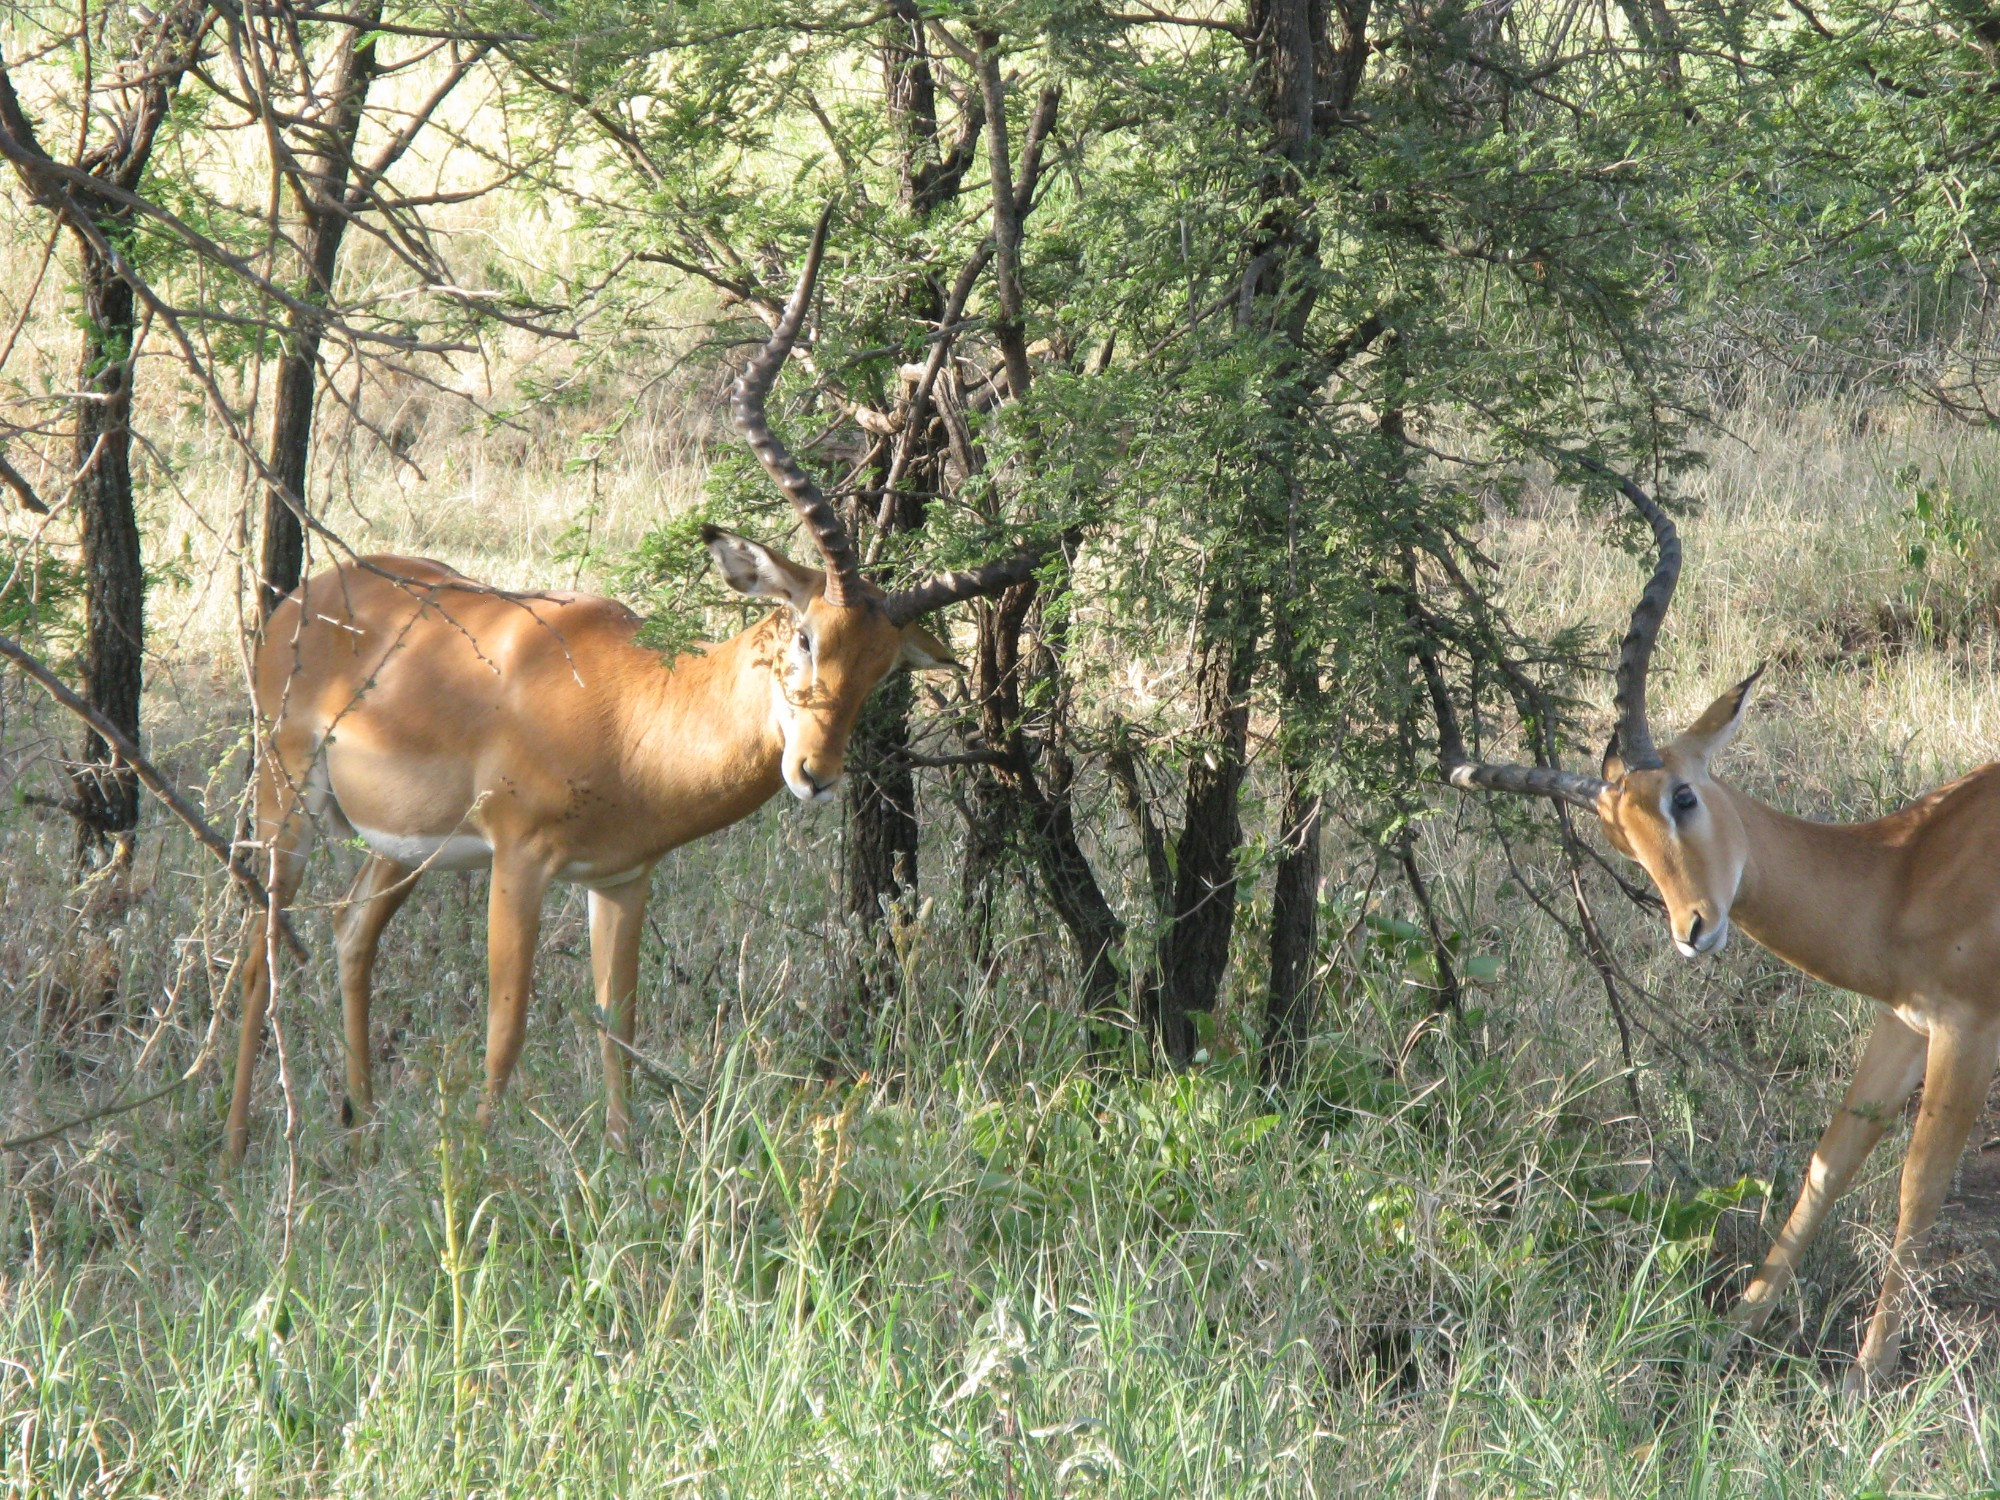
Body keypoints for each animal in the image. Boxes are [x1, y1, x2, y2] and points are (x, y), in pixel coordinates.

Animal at [230, 217, 1032, 1168]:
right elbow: (506, 1027)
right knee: (258, 951)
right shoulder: (521, 860)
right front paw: (484, 1166)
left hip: (403, 846)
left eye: (883, 670)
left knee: (352, 937)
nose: (816, 772)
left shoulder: (621, 877)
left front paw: (618, 1157)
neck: (635, 712)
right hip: (285, 802)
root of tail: (302, 601)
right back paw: (238, 1148)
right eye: (803, 634)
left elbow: (620, 1021)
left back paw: (362, 1126)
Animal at [1440, 470, 2000, 1400]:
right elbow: (1828, 1163)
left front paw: (1866, 1377)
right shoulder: (1904, 1022)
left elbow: (1916, 1189)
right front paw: (1729, 1335)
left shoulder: (1968, 1027)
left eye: (1683, 795)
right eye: (1618, 837)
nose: (1692, 928)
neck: (1901, 871)